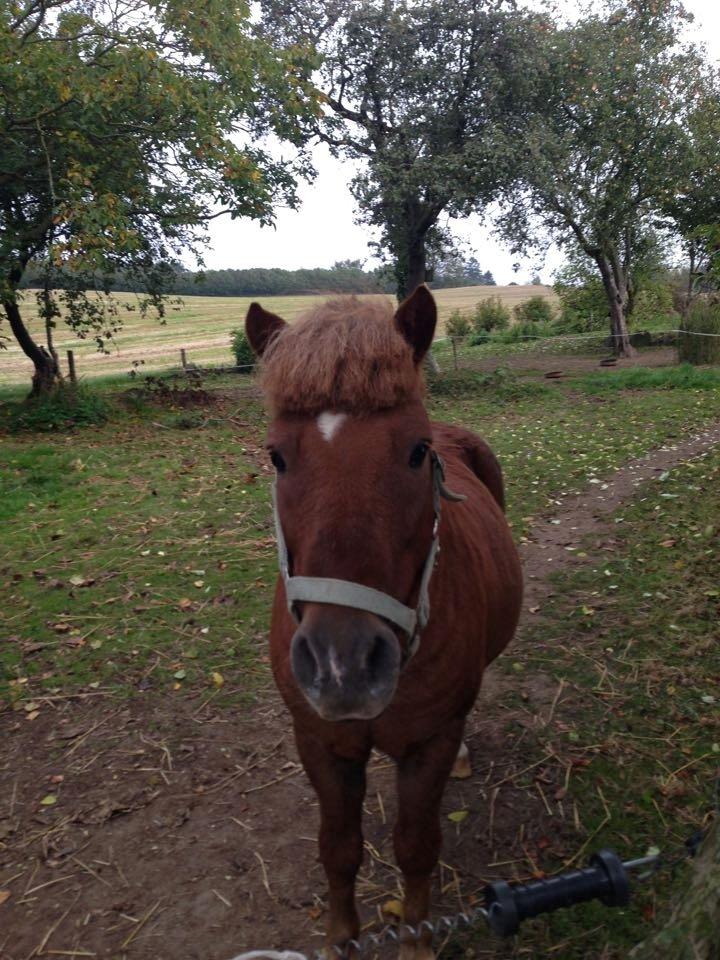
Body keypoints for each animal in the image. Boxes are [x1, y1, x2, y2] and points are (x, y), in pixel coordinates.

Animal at [245, 286, 520, 960]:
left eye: (417, 451)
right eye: (276, 456)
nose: (342, 664)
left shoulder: (429, 743)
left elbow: (416, 847)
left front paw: (417, 940)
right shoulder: (319, 741)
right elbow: (338, 851)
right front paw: (342, 940)